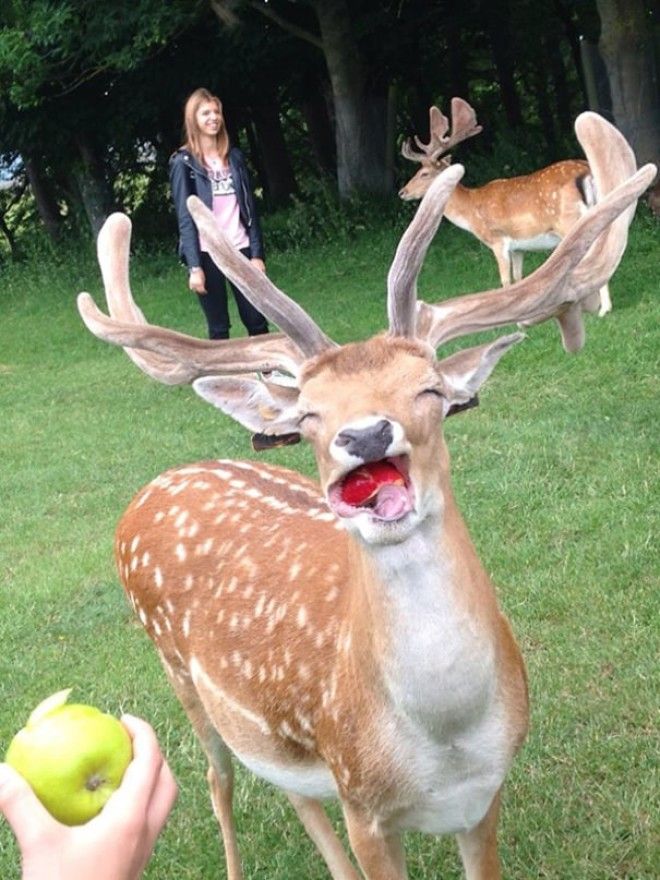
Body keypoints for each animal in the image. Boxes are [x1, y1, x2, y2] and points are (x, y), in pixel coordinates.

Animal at [402, 98, 612, 318]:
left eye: (424, 173)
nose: (402, 192)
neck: (471, 211)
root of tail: (586, 172)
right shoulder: (518, 246)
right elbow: (519, 279)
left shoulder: (498, 239)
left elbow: (505, 280)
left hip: (569, 221)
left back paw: (603, 309)